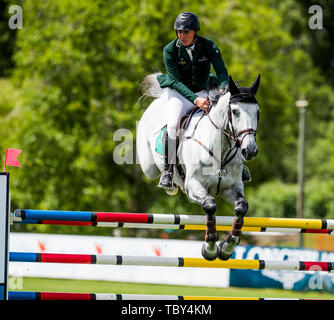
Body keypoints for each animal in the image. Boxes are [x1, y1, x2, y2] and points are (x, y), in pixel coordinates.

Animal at [136, 74, 260, 260]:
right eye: (235, 111)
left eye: (257, 112)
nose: (250, 150)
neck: (220, 150)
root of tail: (161, 99)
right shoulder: (194, 185)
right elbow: (210, 205)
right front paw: (210, 248)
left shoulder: (231, 188)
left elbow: (241, 207)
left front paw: (227, 247)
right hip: (148, 166)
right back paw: (168, 182)